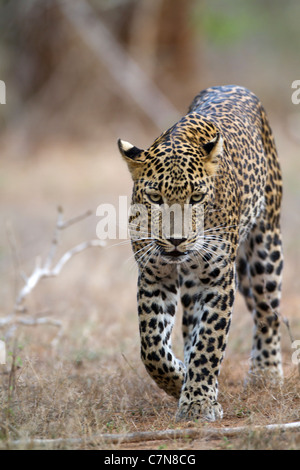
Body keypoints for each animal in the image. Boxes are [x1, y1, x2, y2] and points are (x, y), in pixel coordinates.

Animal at [117, 85, 284, 422]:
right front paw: (180, 380)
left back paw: (266, 373)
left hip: (265, 246)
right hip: (197, 286)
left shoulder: (218, 279)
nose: (177, 241)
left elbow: (209, 341)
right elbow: (152, 347)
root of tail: (235, 86)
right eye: (155, 197)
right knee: (189, 326)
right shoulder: (154, 275)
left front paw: (198, 401)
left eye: (196, 197)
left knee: (267, 312)